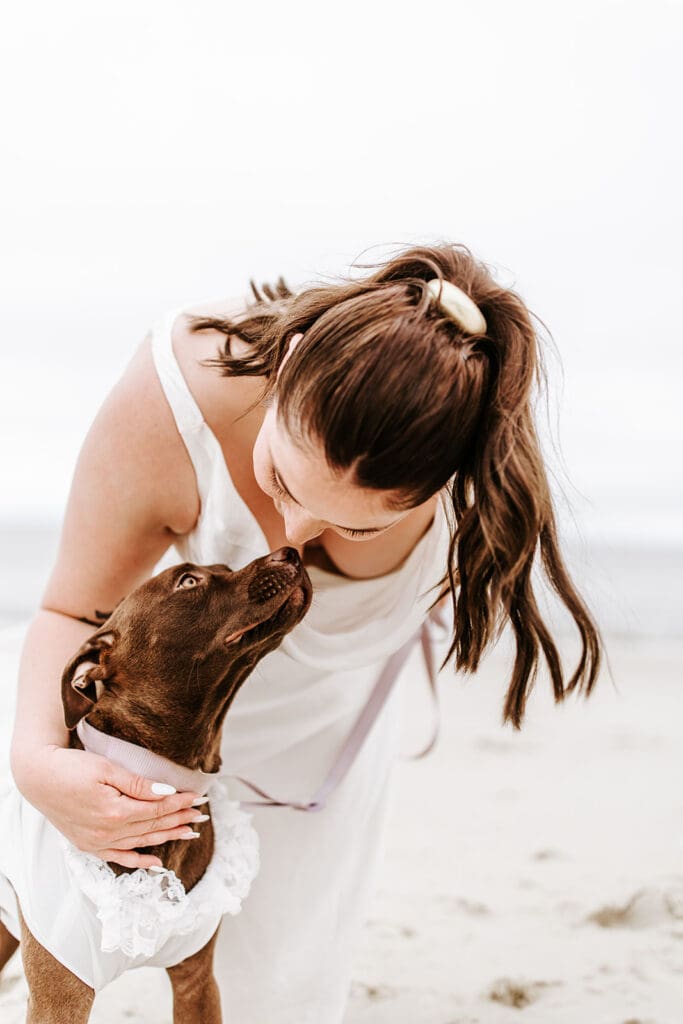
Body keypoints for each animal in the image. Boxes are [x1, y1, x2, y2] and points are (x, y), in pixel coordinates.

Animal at [0, 546, 312, 1023]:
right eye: (188, 582)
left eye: (224, 568)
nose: (290, 551)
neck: (164, 773)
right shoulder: (60, 999)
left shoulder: (196, 984)